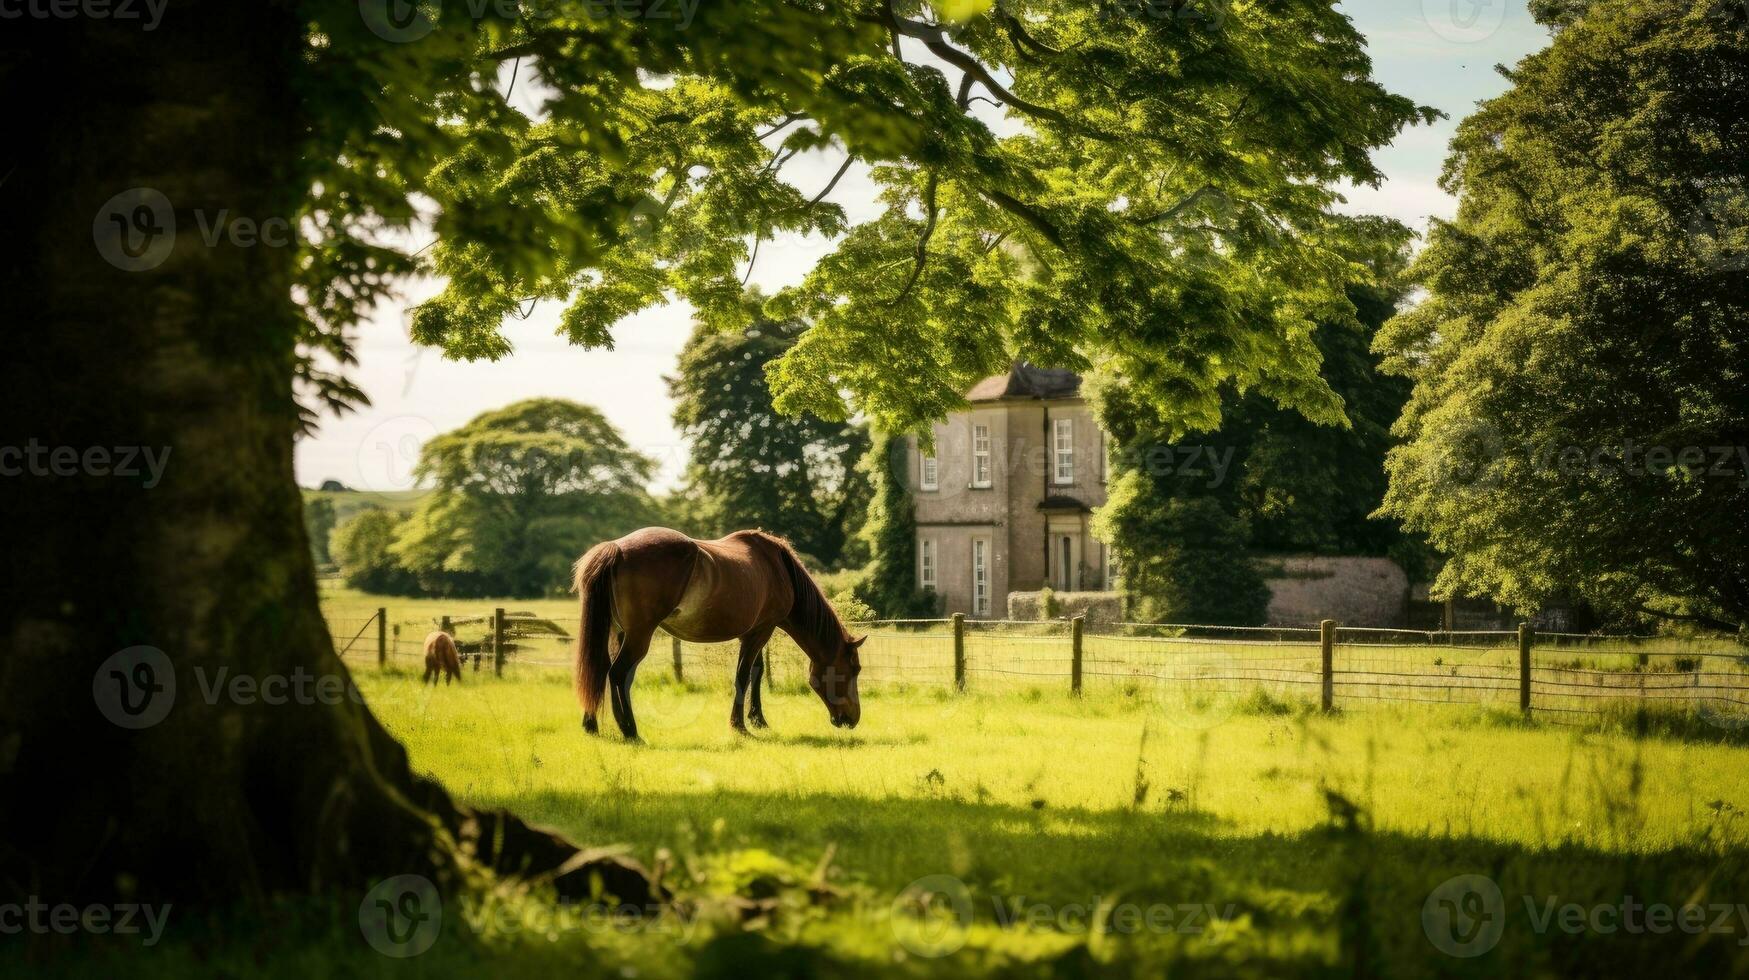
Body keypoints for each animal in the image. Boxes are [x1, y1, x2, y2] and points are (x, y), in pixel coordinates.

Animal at [570, 528, 864, 742]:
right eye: (854, 669)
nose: (853, 719)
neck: (778, 568)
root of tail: (616, 549)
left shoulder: (754, 634)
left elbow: (756, 672)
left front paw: (758, 719)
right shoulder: (761, 631)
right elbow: (743, 675)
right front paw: (739, 726)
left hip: (616, 633)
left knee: (601, 669)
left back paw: (591, 725)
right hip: (638, 636)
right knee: (618, 674)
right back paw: (629, 730)